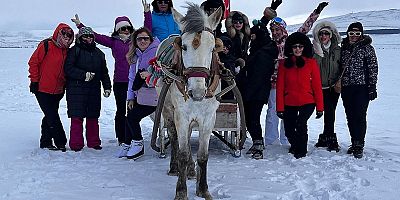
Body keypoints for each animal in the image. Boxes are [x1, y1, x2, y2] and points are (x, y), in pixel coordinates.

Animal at [154, 3, 222, 200]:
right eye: (183, 47)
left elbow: (203, 155)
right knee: (174, 136)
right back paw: (174, 167)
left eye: (212, 47)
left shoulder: (209, 118)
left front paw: (203, 189)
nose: (197, 92)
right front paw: (181, 191)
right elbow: (183, 153)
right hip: (168, 111)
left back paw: (192, 170)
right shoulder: (181, 116)